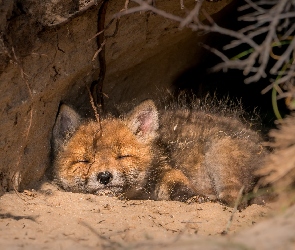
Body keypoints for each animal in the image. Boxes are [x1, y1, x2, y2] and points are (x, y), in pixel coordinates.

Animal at [52, 98, 268, 206]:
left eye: (123, 156)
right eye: (85, 161)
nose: (104, 176)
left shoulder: (166, 170)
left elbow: (179, 186)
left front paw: (193, 197)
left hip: (219, 155)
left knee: (235, 201)